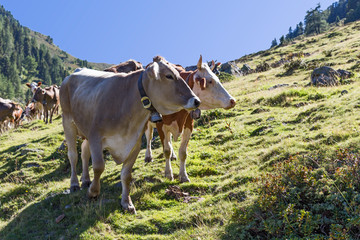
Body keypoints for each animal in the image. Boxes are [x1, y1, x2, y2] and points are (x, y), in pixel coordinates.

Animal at [59, 56, 200, 214]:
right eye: (169, 76)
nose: (197, 101)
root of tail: (72, 74)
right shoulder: (96, 137)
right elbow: (98, 166)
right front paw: (93, 192)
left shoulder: (134, 143)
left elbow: (126, 175)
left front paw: (126, 202)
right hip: (68, 122)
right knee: (73, 155)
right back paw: (74, 184)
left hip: (85, 131)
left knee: (83, 152)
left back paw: (85, 180)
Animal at [144, 54, 236, 182]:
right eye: (210, 81)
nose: (232, 100)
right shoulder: (161, 125)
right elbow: (166, 150)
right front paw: (168, 174)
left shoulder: (189, 124)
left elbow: (183, 152)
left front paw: (183, 176)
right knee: (149, 137)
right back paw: (148, 156)